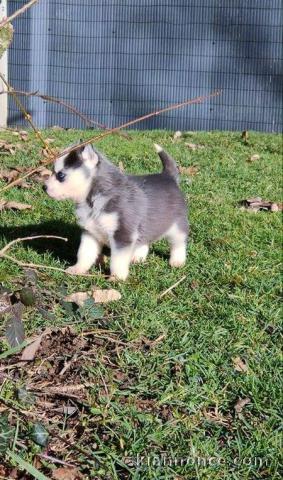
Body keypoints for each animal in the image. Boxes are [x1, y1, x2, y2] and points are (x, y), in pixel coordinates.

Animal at [44, 145, 189, 282]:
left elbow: (117, 260)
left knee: (179, 244)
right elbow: (84, 253)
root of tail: (167, 176)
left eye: (60, 175)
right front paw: (78, 269)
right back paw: (138, 257)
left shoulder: (122, 234)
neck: (93, 200)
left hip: (177, 227)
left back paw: (177, 261)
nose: (43, 187)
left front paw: (117, 278)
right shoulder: (90, 232)